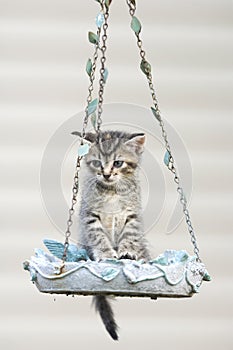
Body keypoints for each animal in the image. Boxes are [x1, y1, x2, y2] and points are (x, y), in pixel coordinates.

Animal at [75, 130, 150, 340]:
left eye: (118, 163)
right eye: (97, 163)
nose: (106, 174)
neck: (112, 192)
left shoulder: (132, 215)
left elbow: (129, 235)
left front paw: (126, 252)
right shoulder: (89, 216)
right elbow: (98, 236)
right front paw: (107, 254)